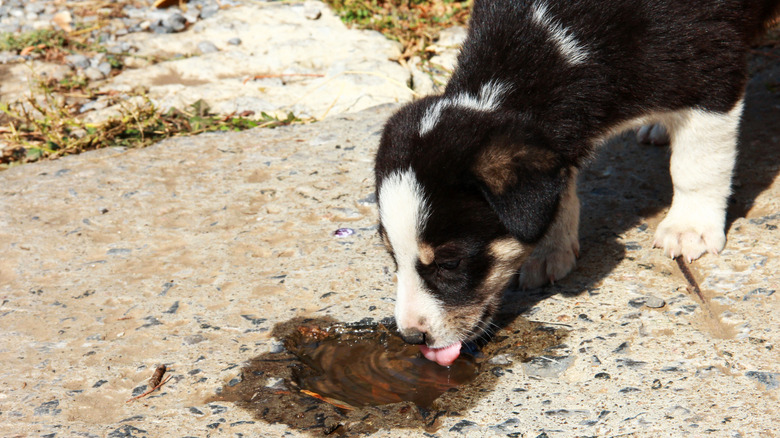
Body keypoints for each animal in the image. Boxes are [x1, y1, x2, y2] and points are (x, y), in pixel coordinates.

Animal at [374, 0, 776, 366]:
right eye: (392, 256)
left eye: (450, 263)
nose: (411, 338)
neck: (555, 39)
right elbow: (560, 190)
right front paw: (549, 251)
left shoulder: (712, 68)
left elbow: (697, 164)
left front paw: (689, 228)